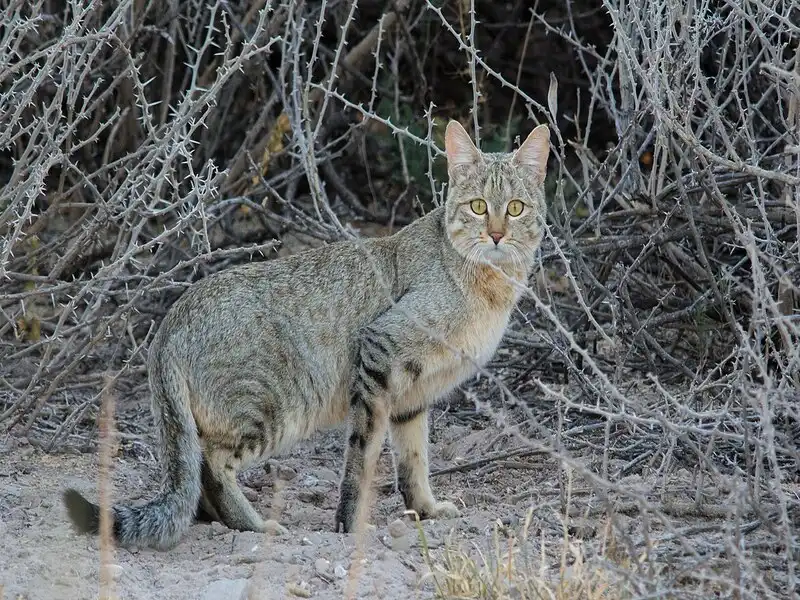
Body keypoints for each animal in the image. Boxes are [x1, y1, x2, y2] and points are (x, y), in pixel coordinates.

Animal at [62, 119, 552, 552]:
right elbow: (362, 458)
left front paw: (426, 511)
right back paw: (254, 525)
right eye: (477, 206)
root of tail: (171, 319)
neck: (491, 286)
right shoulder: (379, 351)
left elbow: (414, 461)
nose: (496, 234)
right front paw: (351, 523)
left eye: (514, 208)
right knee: (212, 465)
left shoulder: (412, 397)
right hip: (270, 406)